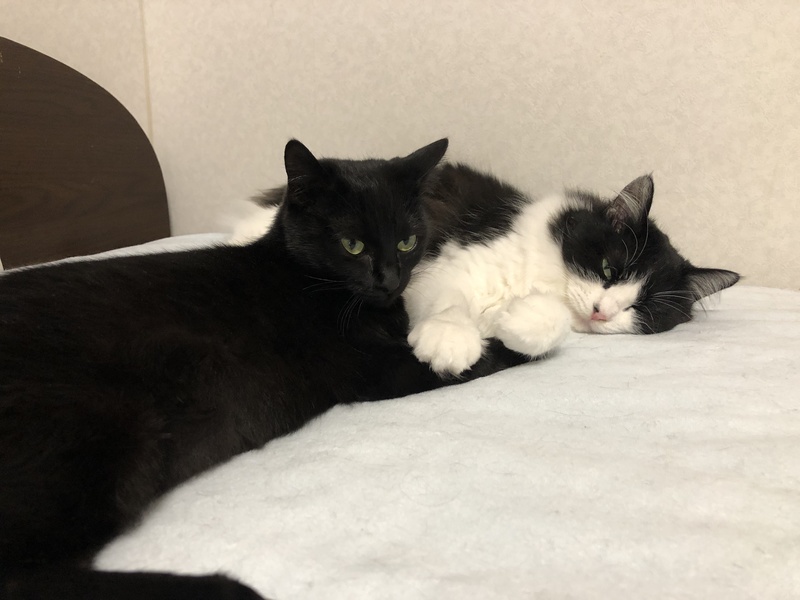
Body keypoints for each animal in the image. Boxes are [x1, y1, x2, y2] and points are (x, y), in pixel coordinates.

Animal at [0, 139, 525, 600]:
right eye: (352, 245)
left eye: (408, 241)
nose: (391, 280)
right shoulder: (375, 370)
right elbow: (481, 359)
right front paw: (518, 340)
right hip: (98, 427)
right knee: (18, 578)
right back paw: (226, 588)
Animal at [232, 164, 740, 376]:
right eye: (609, 269)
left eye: (642, 309)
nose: (601, 310)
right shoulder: (443, 265)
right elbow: (450, 305)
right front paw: (450, 343)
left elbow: (548, 323)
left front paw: (517, 324)